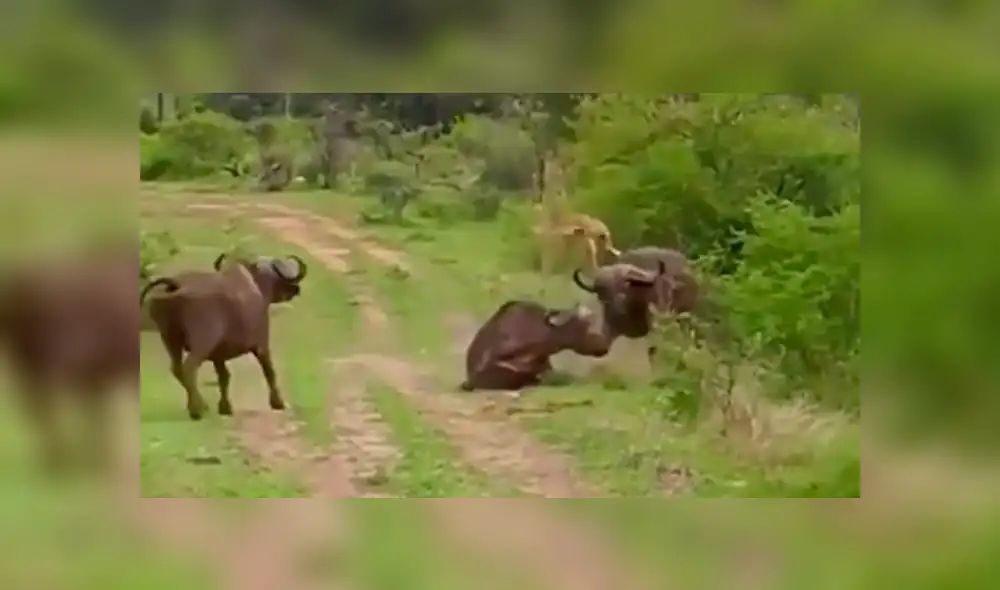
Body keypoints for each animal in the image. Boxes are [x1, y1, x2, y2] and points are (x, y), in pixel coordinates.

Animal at [140, 253, 307, 420]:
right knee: (189, 368)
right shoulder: (261, 345)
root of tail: (176, 284)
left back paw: (200, 406)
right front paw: (278, 403)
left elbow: (224, 377)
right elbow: (269, 371)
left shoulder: (218, 356)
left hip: (169, 339)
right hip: (202, 342)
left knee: (177, 369)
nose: (295, 290)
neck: (256, 286)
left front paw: (225, 407)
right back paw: (198, 410)